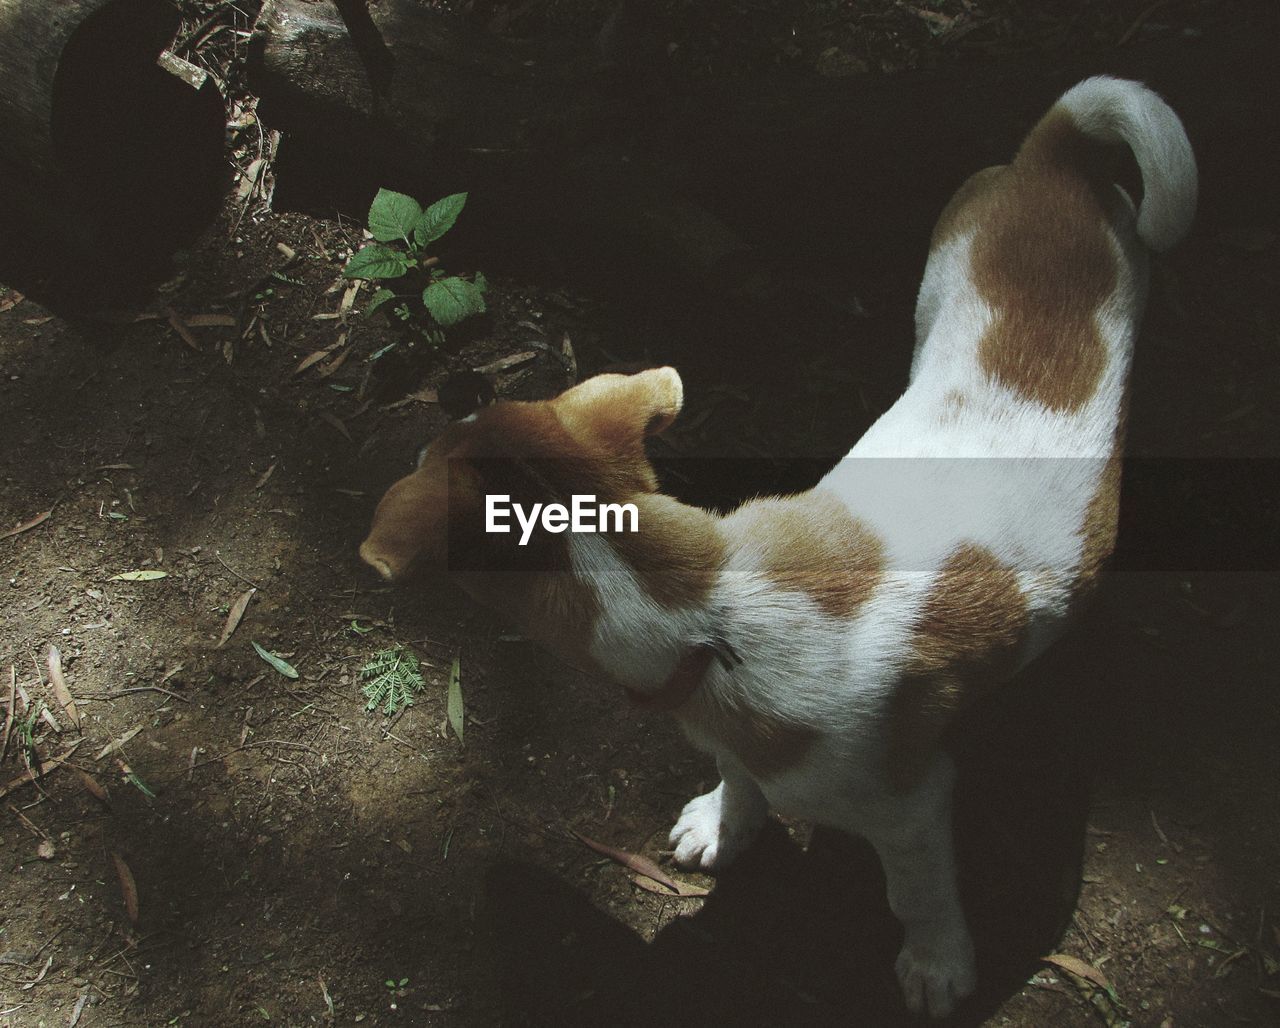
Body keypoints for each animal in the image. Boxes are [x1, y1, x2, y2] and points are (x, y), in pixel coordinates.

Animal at [358, 76, 1187, 1019]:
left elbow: (918, 895)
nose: (450, 393)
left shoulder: (912, 804)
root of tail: (1054, 161)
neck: (708, 614)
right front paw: (727, 822)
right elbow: (738, 771)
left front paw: (938, 963)